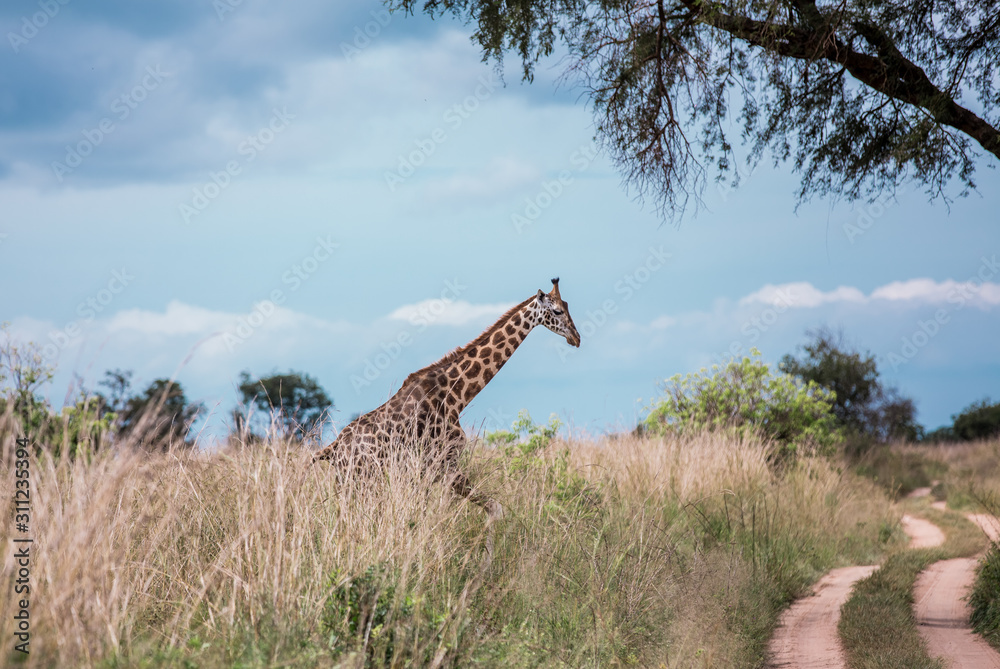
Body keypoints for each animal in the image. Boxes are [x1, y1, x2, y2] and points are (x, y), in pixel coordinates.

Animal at [313, 278, 580, 517]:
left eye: (567, 306)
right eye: (557, 310)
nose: (576, 338)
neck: (456, 396)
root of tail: (332, 448)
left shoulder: (432, 469)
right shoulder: (443, 463)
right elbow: (494, 509)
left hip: (352, 480)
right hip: (361, 479)